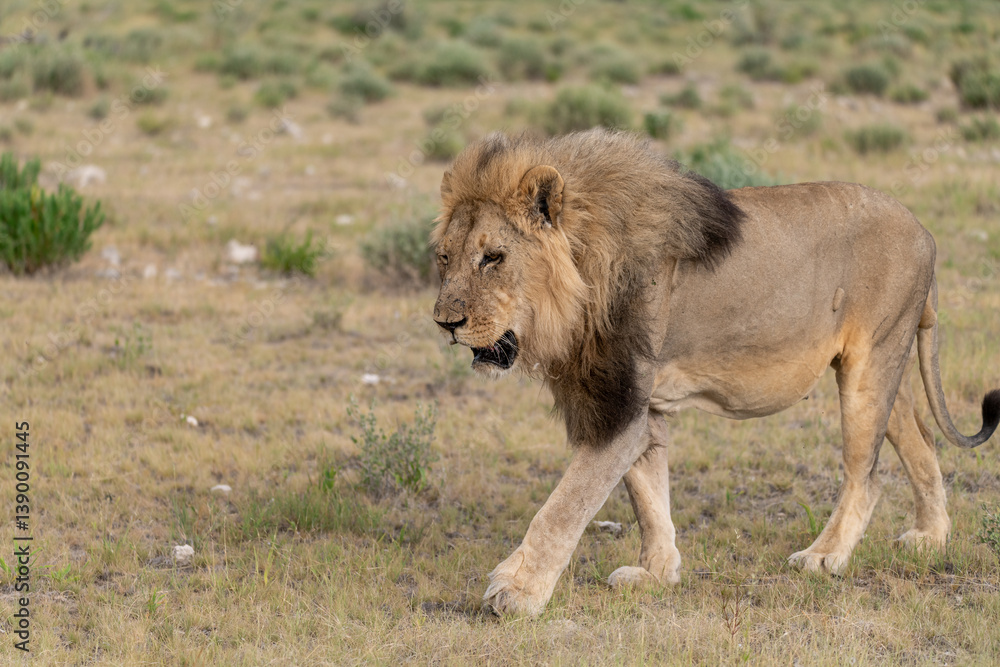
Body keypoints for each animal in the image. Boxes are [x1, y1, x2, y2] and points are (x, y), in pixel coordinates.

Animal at [431, 128, 1000, 617]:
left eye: (493, 257)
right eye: (444, 258)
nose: (444, 323)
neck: (583, 275)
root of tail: (924, 230)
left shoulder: (621, 405)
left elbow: (564, 506)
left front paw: (517, 591)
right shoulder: (640, 406)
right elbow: (648, 497)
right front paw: (657, 574)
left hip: (869, 367)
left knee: (868, 472)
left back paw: (825, 556)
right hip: (885, 363)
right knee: (922, 443)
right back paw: (932, 538)